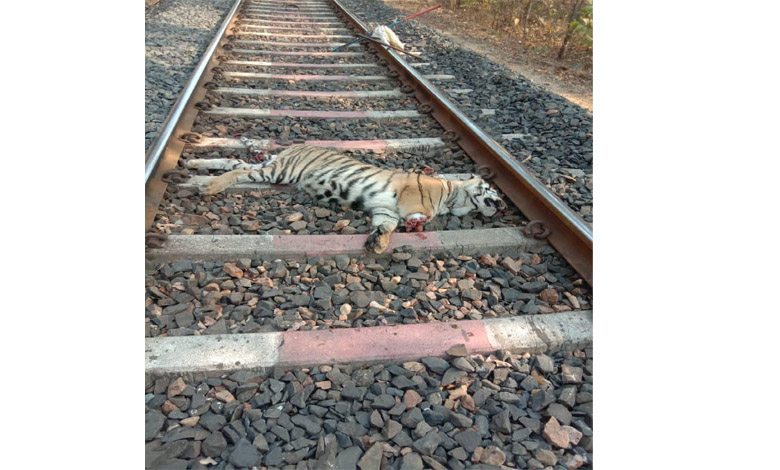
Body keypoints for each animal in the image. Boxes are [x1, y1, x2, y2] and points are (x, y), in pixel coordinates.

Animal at [185, 145, 508, 254]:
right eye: (493, 190)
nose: (504, 206)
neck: (453, 196)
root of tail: (293, 147)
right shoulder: (406, 196)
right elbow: (417, 211)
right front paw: (417, 221)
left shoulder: (384, 210)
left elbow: (386, 226)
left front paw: (378, 242)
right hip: (282, 171)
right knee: (238, 171)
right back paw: (208, 186)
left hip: (273, 169)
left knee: (232, 162)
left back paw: (194, 170)